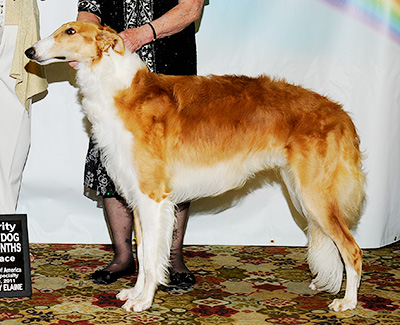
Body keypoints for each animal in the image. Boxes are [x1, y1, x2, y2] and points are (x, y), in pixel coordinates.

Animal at [25, 22, 366, 312]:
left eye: (69, 31)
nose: (29, 51)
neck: (119, 89)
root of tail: (340, 113)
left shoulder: (153, 197)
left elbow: (152, 258)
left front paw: (143, 301)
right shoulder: (138, 198)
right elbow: (143, 252)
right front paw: (135, 293)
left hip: (314, 195)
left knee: (353, 249)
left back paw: (347, 302)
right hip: (304, 193)